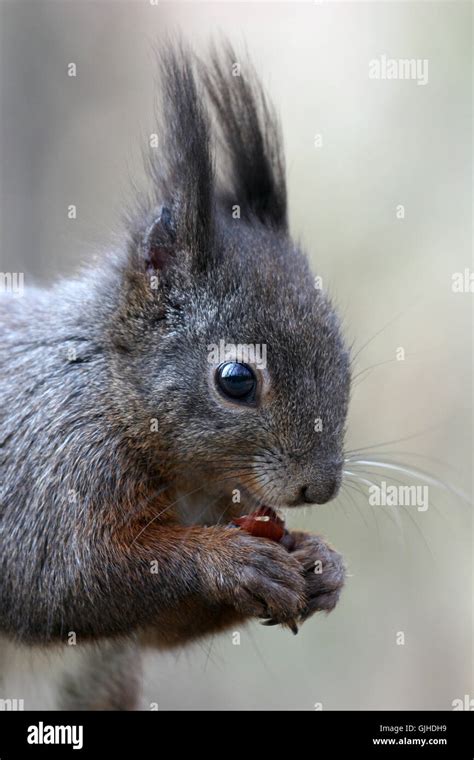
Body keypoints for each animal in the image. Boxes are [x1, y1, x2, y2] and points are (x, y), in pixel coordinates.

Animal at [0, 40, 348, 708]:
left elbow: (155, 626)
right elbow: (64, 578)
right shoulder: (52, 465)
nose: (318, 489)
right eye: (236, 380)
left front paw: (322, 564)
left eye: (343, 353)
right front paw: (226, 560)